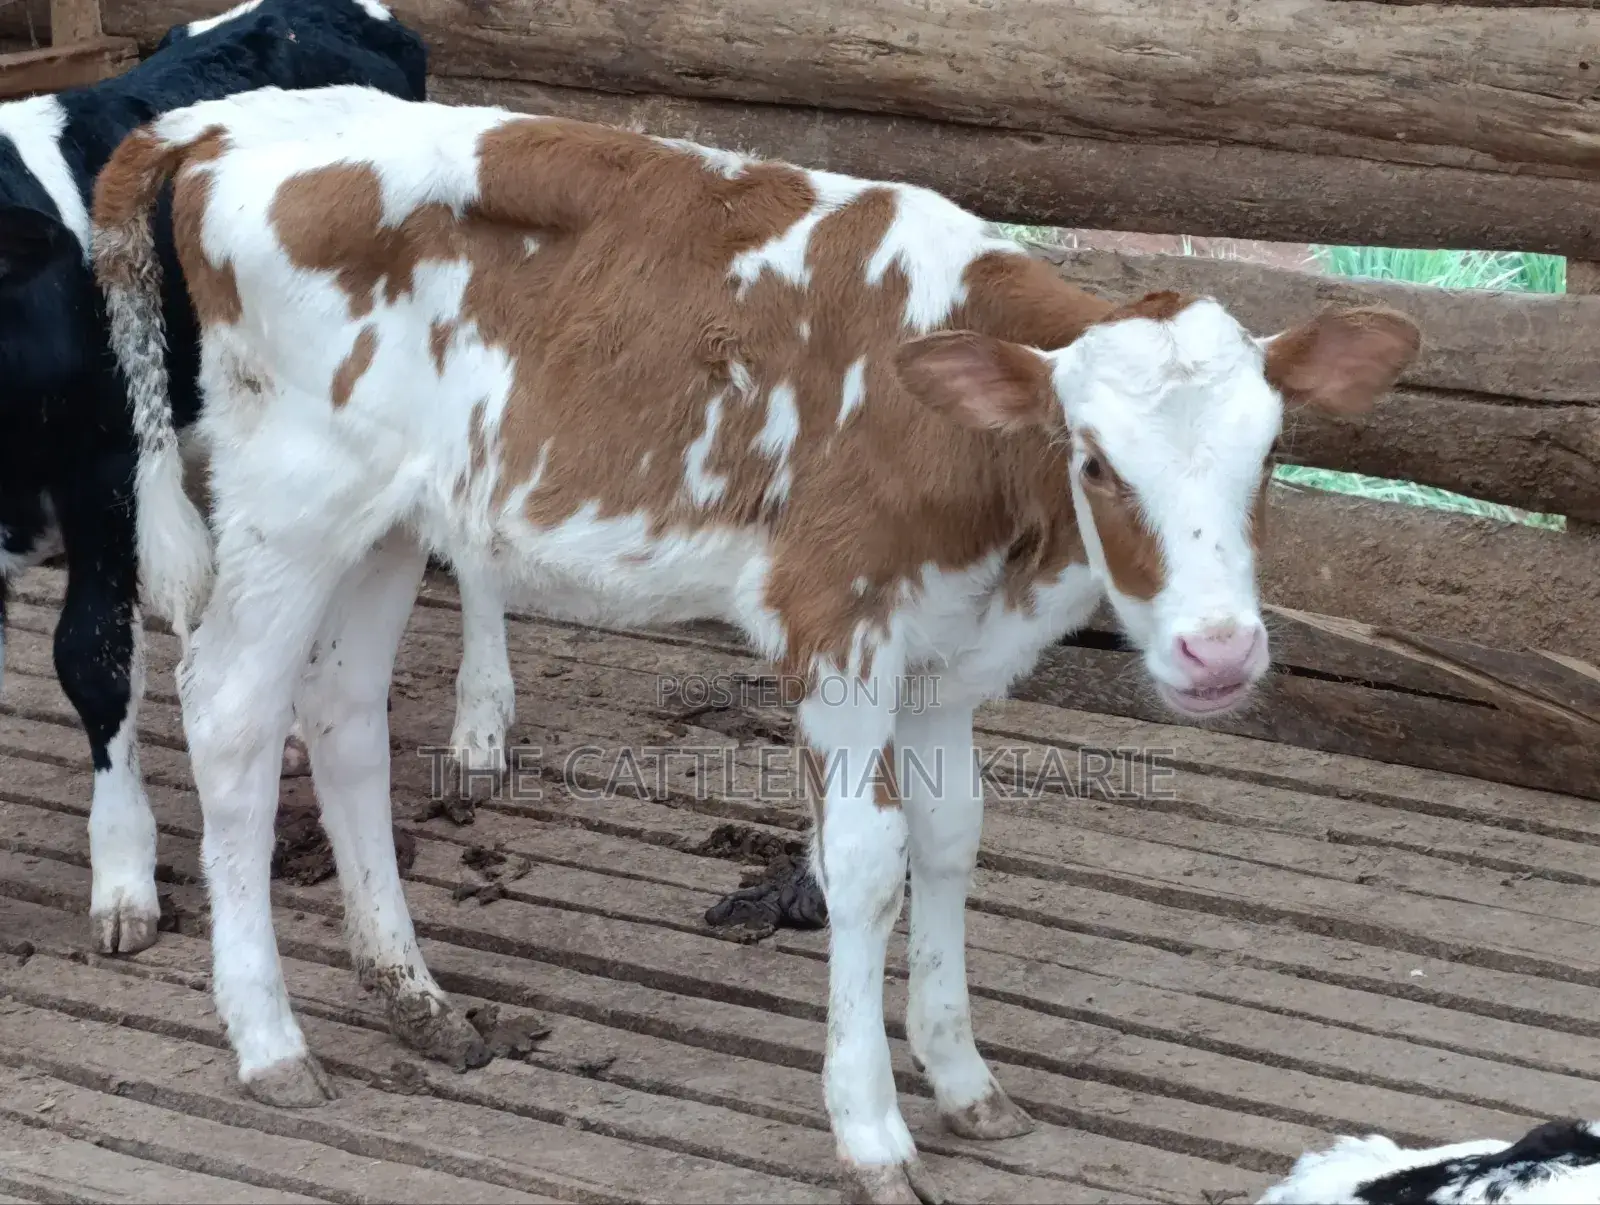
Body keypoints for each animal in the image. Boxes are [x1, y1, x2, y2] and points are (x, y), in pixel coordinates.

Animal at [91, 84, 1420, 1202]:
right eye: (1095, 460)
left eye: (1271, 454)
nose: (1217, 651)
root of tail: (220, 120)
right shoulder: (834, 624)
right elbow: (867, 863)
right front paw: (873, 1131)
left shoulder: (943, 653)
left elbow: (952, 836)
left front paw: (963, 1077)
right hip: (292, 502)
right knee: (229, 709)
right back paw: (268, 1037)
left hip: (389, 520)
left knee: (345, 716)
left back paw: (411, 990)